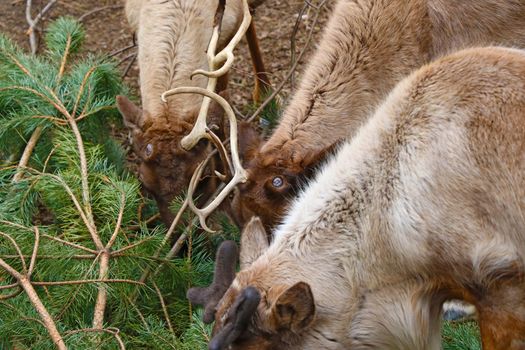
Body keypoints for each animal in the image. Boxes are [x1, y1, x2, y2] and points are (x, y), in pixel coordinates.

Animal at [116, 0, 268, 224]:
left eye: (204, 178)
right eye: (144, 182)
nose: (183, 232)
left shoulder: (227, 34)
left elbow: (220, 114)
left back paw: (263, 89)